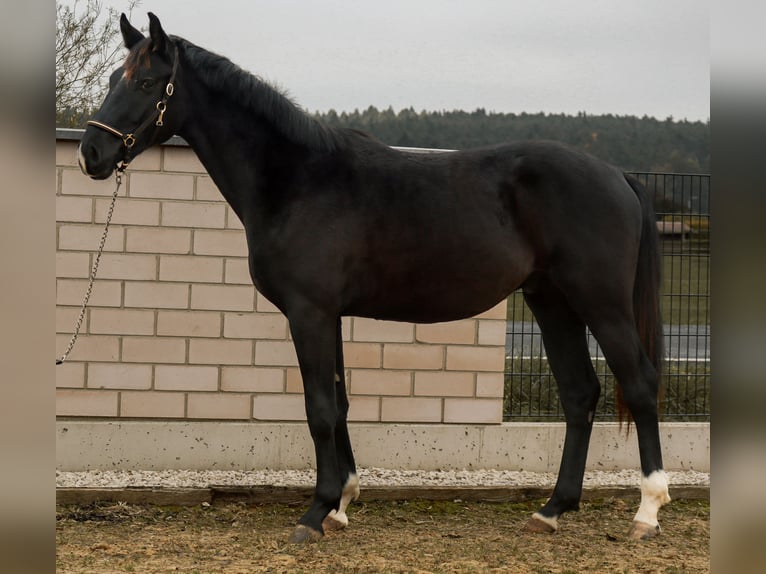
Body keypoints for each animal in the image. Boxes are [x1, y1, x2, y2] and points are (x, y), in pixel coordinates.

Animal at [76, 12, 672, 544]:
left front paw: (314, 513)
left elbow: (318, 408)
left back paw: (647, 511)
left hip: (601, 304)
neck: (297, 179)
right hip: (552, 302)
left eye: (146, 82)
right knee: (579, 393)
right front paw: (341, 503)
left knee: (640, 385)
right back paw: (551, 510)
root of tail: (616, 174)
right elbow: (338, 403)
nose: (91, 153)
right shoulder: (328, 313)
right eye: (110, 80)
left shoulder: (309, 312)